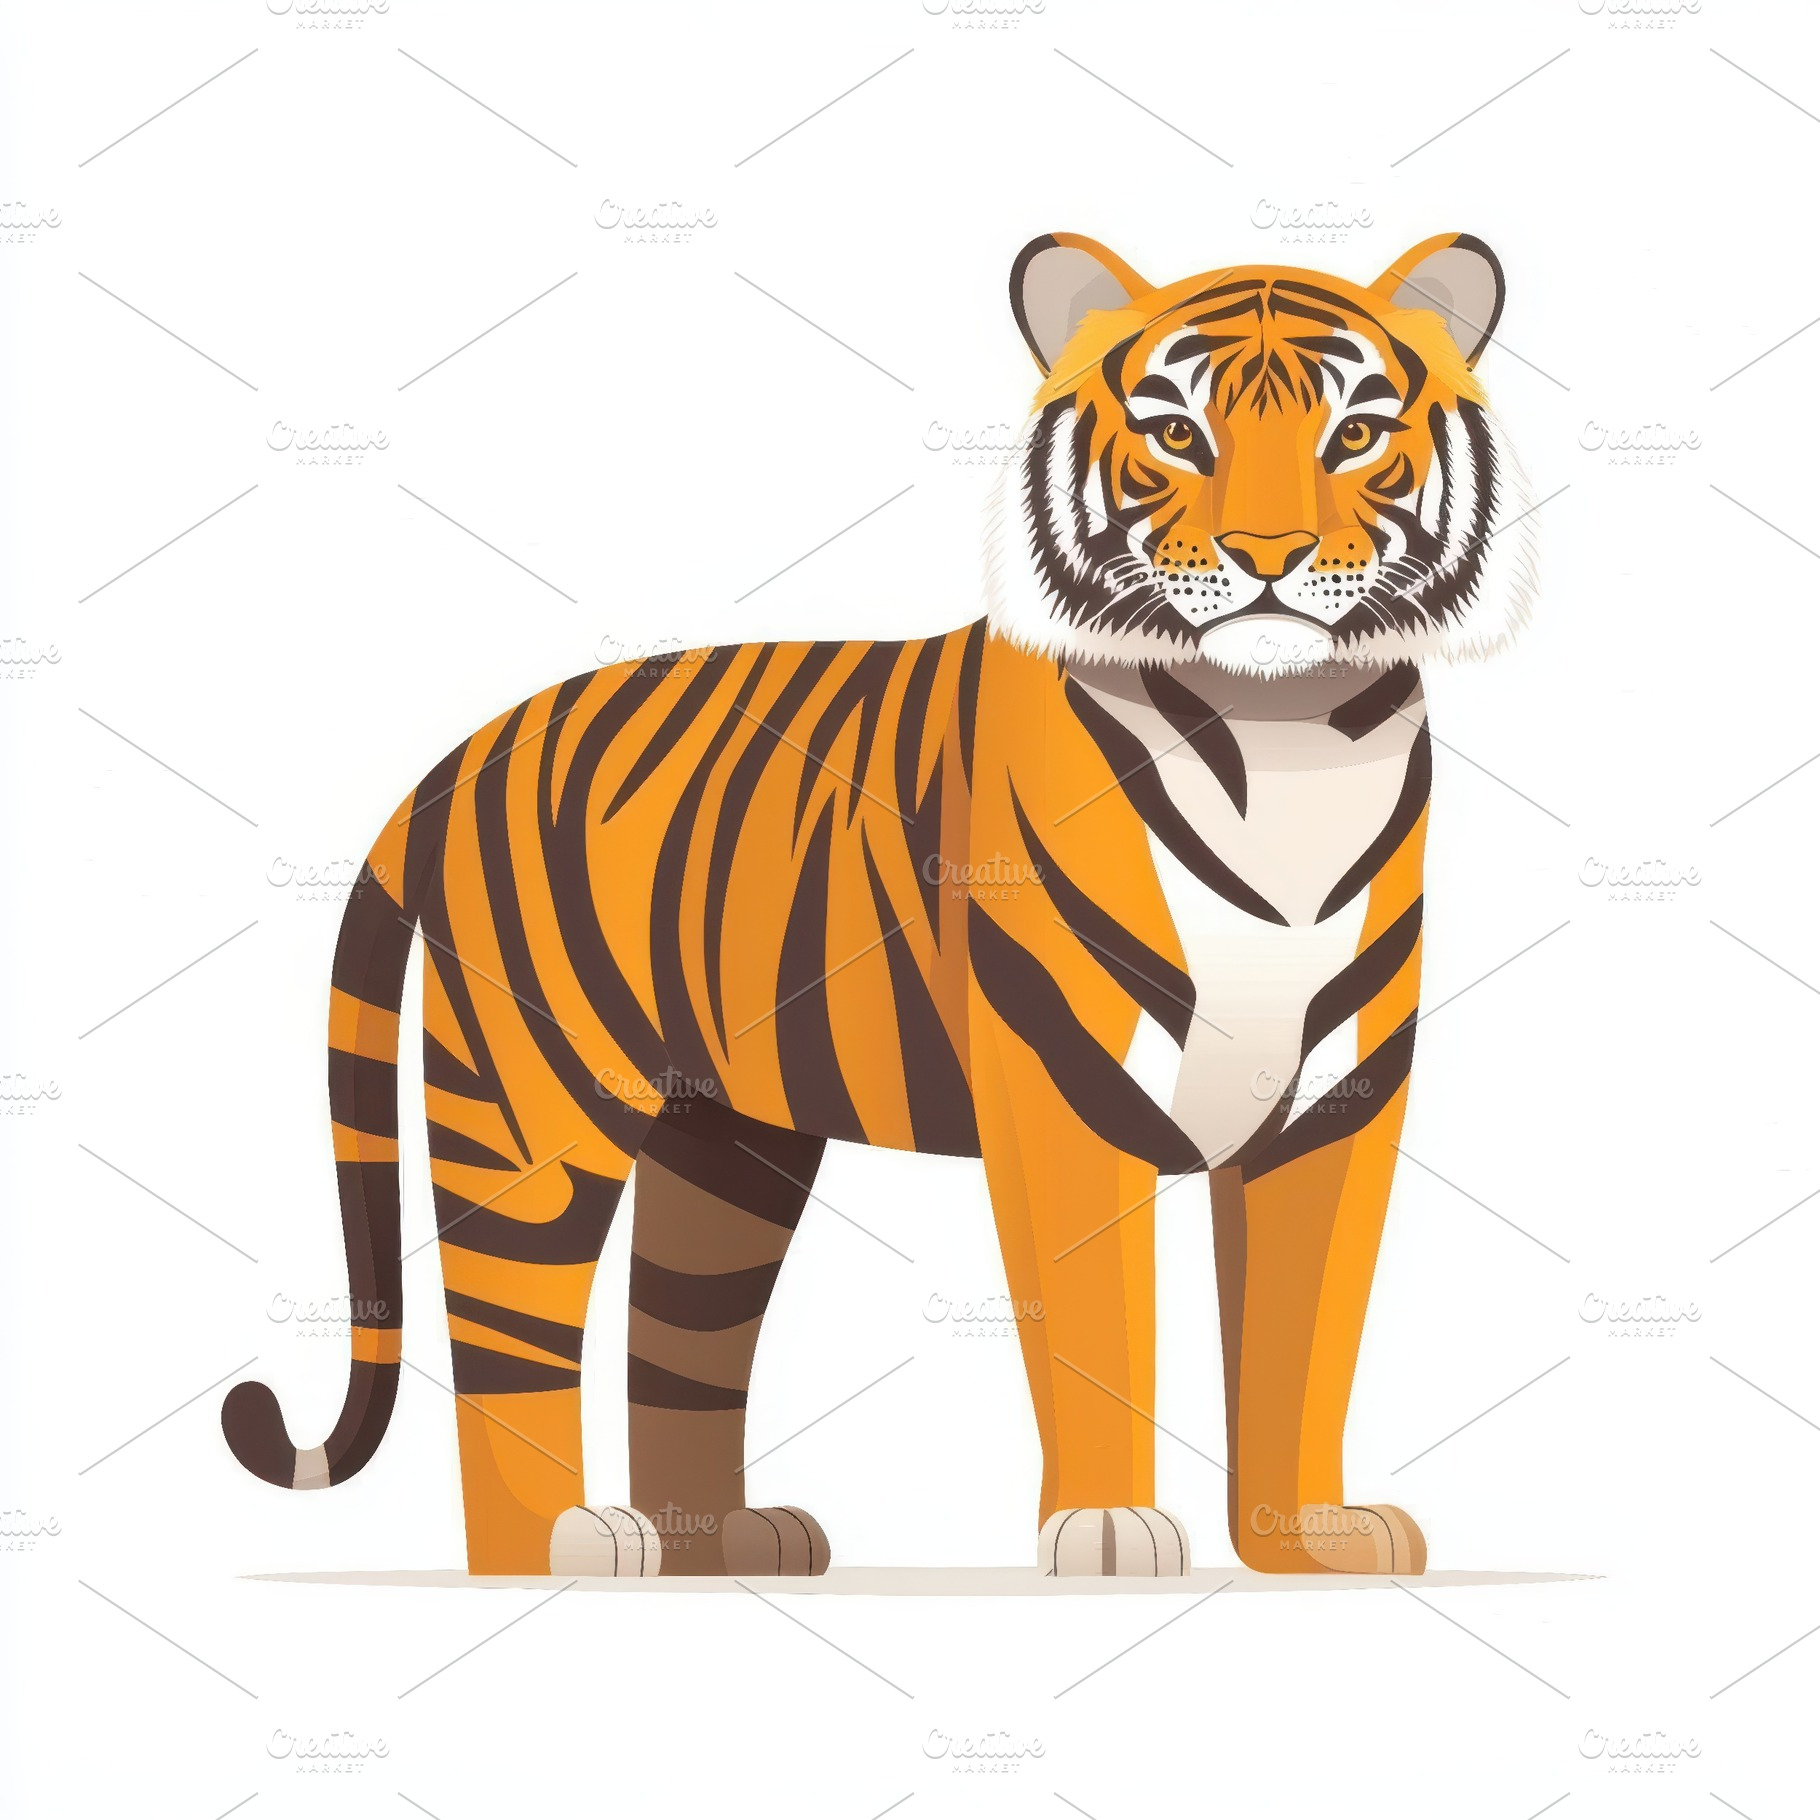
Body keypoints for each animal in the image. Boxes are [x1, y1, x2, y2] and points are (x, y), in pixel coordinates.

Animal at [222, 231, 1534, 1579]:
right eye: (1176, 433)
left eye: (1355, 432)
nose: (1267, 556)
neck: (1285, 730)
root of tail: (459, 753)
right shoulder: (1067, 1088)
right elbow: (1099, 1323)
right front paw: (1106, 1528)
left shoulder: (1335, 1101)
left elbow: (1301, 1337)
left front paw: (1304, 1537)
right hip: (526, 1098)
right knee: (511, 1325)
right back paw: (560, 1545)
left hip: (724, 1143)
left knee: (681, 1329)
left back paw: (725, 1540)